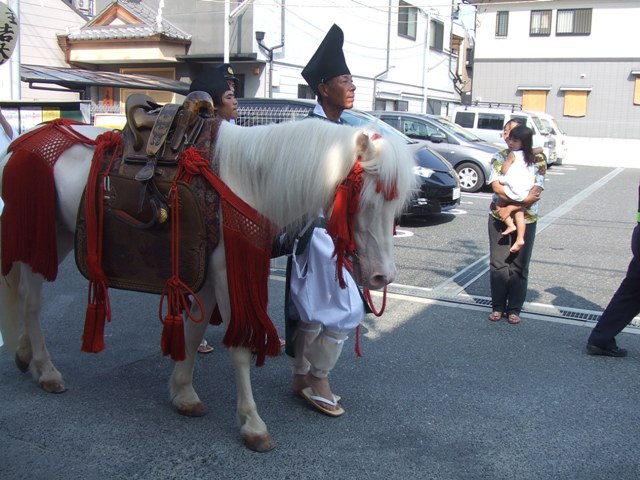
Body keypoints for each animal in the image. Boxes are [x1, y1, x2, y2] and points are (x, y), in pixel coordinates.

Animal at [0, 116, 416, 450]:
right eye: (366, 200)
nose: (383, 276)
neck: (248, 182)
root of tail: (22, 142)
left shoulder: (206, 273)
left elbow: (193, 329)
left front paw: (183, 392)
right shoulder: (226, 274)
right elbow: (239, 348)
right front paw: (252, 423)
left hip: (57, 235)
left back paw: (25, 355)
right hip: (41, 236)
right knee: (31, 302)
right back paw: (46, 370)